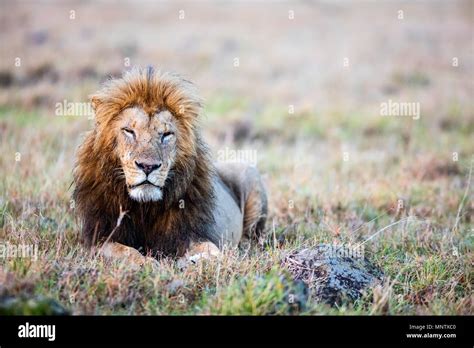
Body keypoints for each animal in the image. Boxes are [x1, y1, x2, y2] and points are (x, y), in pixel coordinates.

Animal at [72, 66, 268, 266]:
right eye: (129, 131)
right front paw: (148, 263)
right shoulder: (99, 239)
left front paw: (195, 261)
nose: (147, 166)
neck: (145, 208)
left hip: (249, 174)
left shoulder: (190, 234)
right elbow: (125, 251)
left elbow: (212, 250)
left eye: (166, 134)